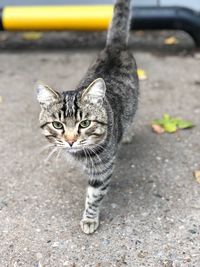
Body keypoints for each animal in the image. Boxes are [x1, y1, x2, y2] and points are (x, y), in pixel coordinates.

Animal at [36, 0, 139, 234]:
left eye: (85, 123)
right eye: (57, 125)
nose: (71, 141)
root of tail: (114, 47)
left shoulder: (103, 169)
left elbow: (94, 196)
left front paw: (90, 219)